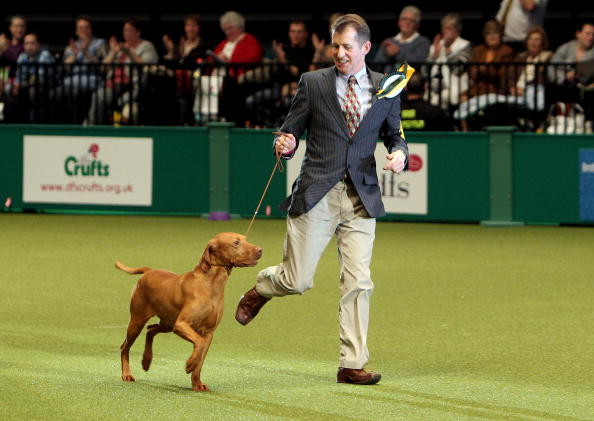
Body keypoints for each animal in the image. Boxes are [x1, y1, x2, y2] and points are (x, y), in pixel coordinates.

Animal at [115, 231, 262, 388]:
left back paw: (146, 360)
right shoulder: (181, 324)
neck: (211, 284)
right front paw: (190, 363)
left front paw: (197, 383)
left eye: (246, 240)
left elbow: (201, 357)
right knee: (124, 347)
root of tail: (149, 271)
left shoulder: (208, 333)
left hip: (168, 323)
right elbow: (199, 343)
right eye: (236, 242)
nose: (260, 250)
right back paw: (127, 374)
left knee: (150, 330)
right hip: (137, 321)